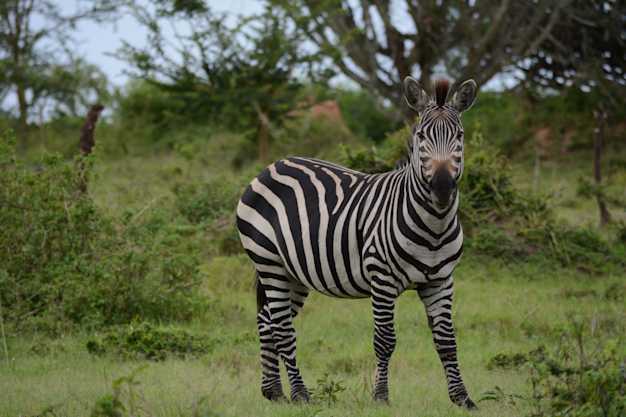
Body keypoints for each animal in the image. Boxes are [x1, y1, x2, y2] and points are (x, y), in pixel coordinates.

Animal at [235, 76, 478, 408]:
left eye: (460, 136)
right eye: (420, 136)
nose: (442, 187)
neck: (434, 226)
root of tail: (272, 166)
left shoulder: (441, 281)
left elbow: (447, 342)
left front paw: (462, 398)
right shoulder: (382, 279)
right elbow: (385, 340)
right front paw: (381, 397)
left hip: (292, 273)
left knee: (268, 321)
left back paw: (273, 392)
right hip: (268, 262)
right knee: (282, 330)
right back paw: (300, 395)